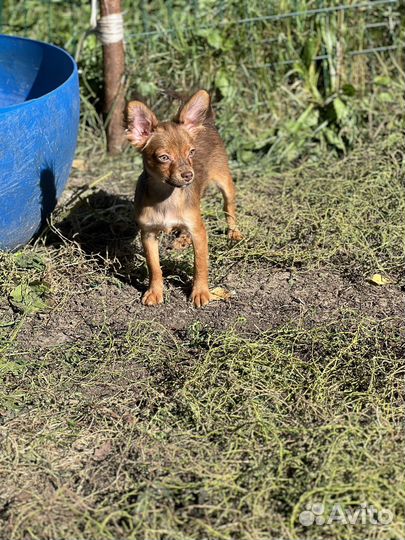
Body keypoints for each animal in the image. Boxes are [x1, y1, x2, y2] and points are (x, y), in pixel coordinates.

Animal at [127, 90, 240, 306]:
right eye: (164, 158)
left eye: (191, 152)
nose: (188, 175)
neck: (167, 197)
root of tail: (207, 122)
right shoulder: (148, 234)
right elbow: (154, 267)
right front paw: (155, 291)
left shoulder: (199, 234)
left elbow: (200, 264)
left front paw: (201, 292)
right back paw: (183, 239)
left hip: (225, 182)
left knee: (229, 208)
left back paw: (234, 233)